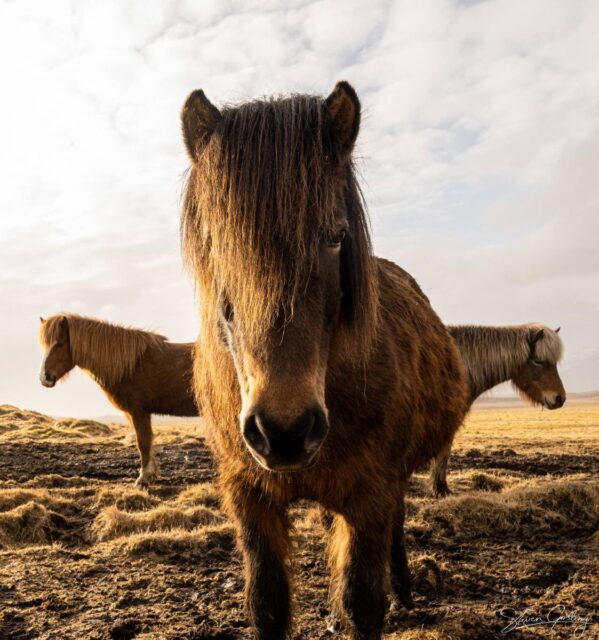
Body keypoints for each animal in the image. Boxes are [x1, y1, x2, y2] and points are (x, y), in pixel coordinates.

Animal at [38, 316, 198, 484]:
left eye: (60, 343)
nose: (44, 377)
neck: (131, 366)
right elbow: (147, 441)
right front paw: (151, 475)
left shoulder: (138, 411)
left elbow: (143, 442)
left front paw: (143, 478)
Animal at [180, 81, 472, 640]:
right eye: (216, 243)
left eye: (336, 237)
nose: (284, 431)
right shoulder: (249, 497)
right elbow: (268, 605)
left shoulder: (371, 493)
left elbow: (364, 600)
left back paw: (406, 590)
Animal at [428, 322, 564, 498]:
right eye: (538, 361)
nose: (560, 398)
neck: (461, 364)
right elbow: (443, 453)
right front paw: (440, 489)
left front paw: (440, 488)